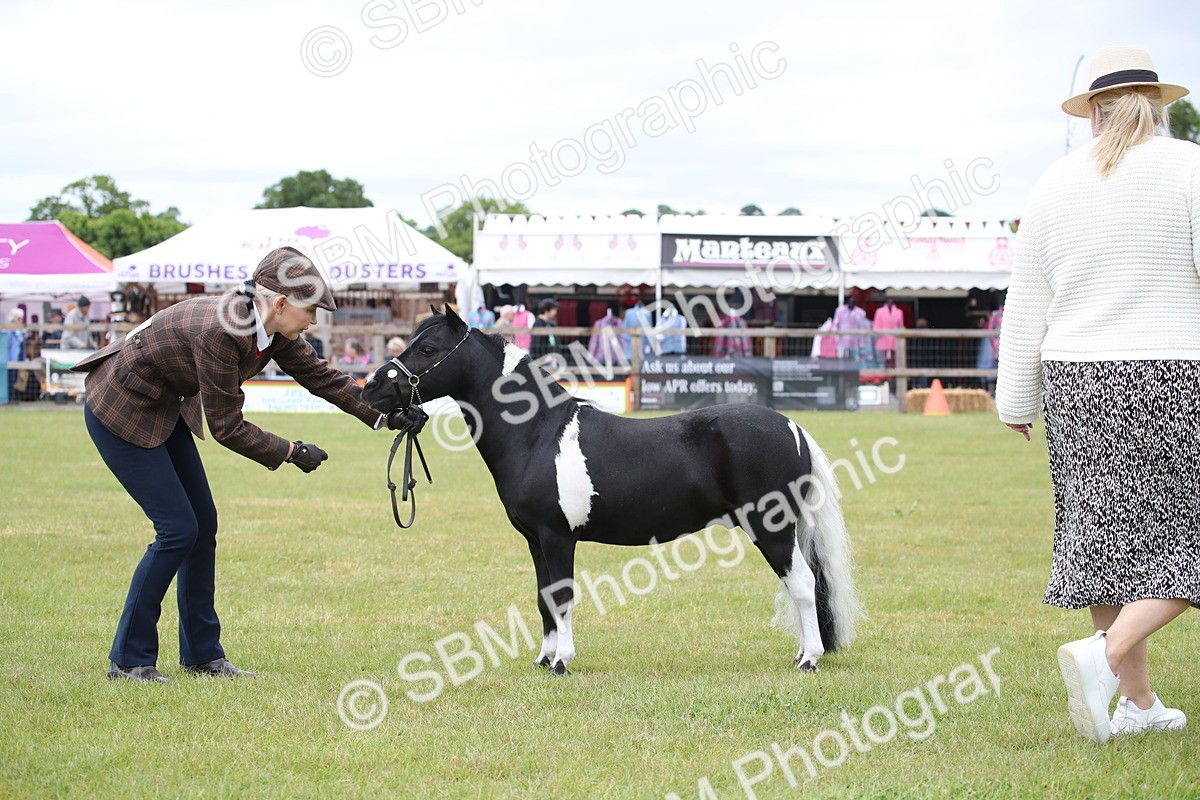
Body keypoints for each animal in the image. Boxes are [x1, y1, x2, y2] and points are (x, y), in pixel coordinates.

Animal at [362, 306, 861, 675]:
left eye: (427, 347)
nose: (371, 388)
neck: (537, 433)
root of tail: (792, 426)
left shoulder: (557, 537)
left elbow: (562, 597)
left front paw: (562, 662)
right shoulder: (535, 540)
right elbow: (544, 597)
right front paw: (543, 658)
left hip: (772, 528)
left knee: (802, 584)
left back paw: (809, 660)